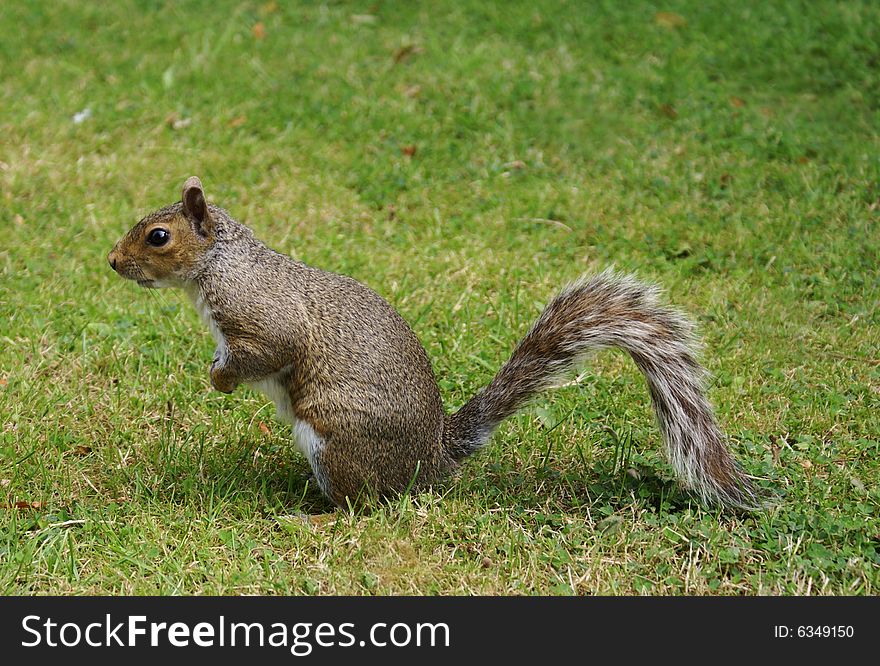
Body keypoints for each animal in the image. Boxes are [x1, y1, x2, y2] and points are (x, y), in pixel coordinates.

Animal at [106, 176, 760, 508]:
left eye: (158, 236)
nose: (112, 261)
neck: (221, 263)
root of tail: (435, 462)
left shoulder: (264, 322)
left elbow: (263, 353)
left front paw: (219, 379)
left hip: (335, 442)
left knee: (368, 503)